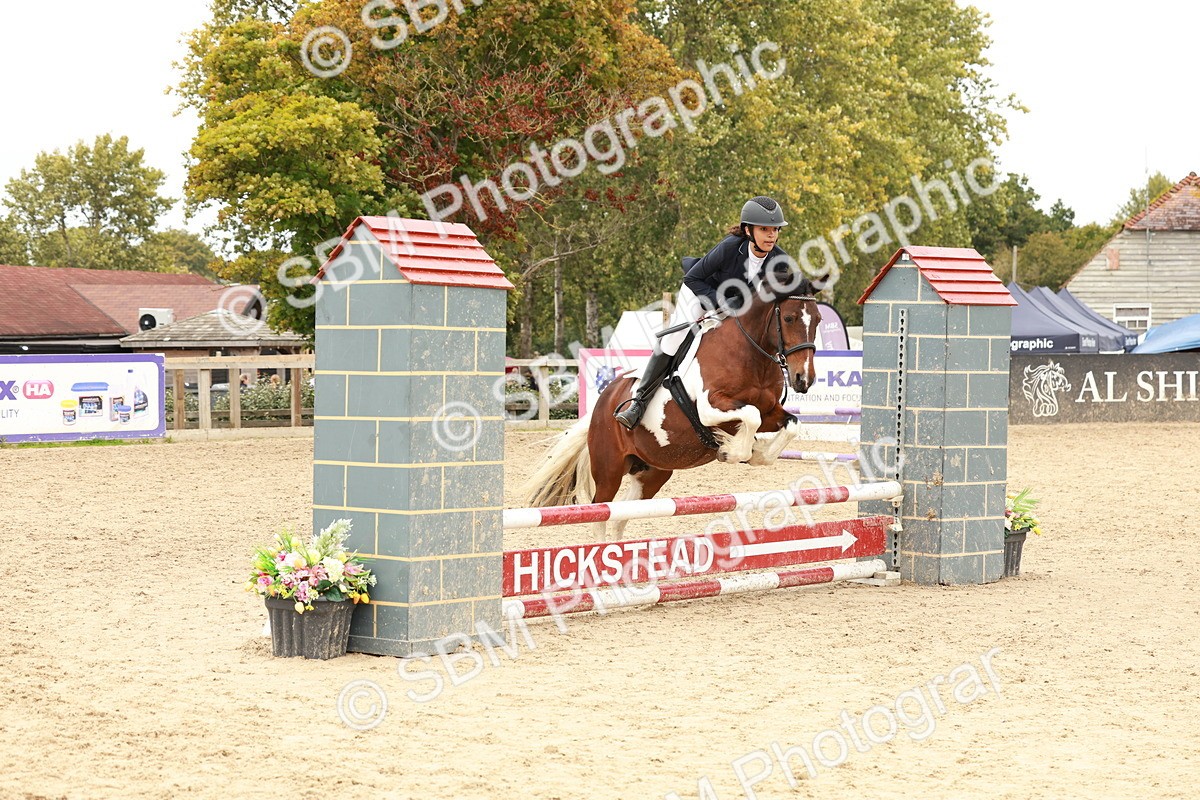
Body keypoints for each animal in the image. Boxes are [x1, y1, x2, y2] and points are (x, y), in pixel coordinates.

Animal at [523, 268, 823, 529]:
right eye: (789, 318)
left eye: (818, 319)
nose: (803, 379)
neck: (751, 354)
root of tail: (603, 402)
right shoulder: (709, 408)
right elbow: (750, 416)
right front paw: (730, 450)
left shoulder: (770, 411)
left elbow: (789, 424)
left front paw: (756, 452)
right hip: (609, 469)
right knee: (602, 511)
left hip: (652, 471)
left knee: (621, 515)